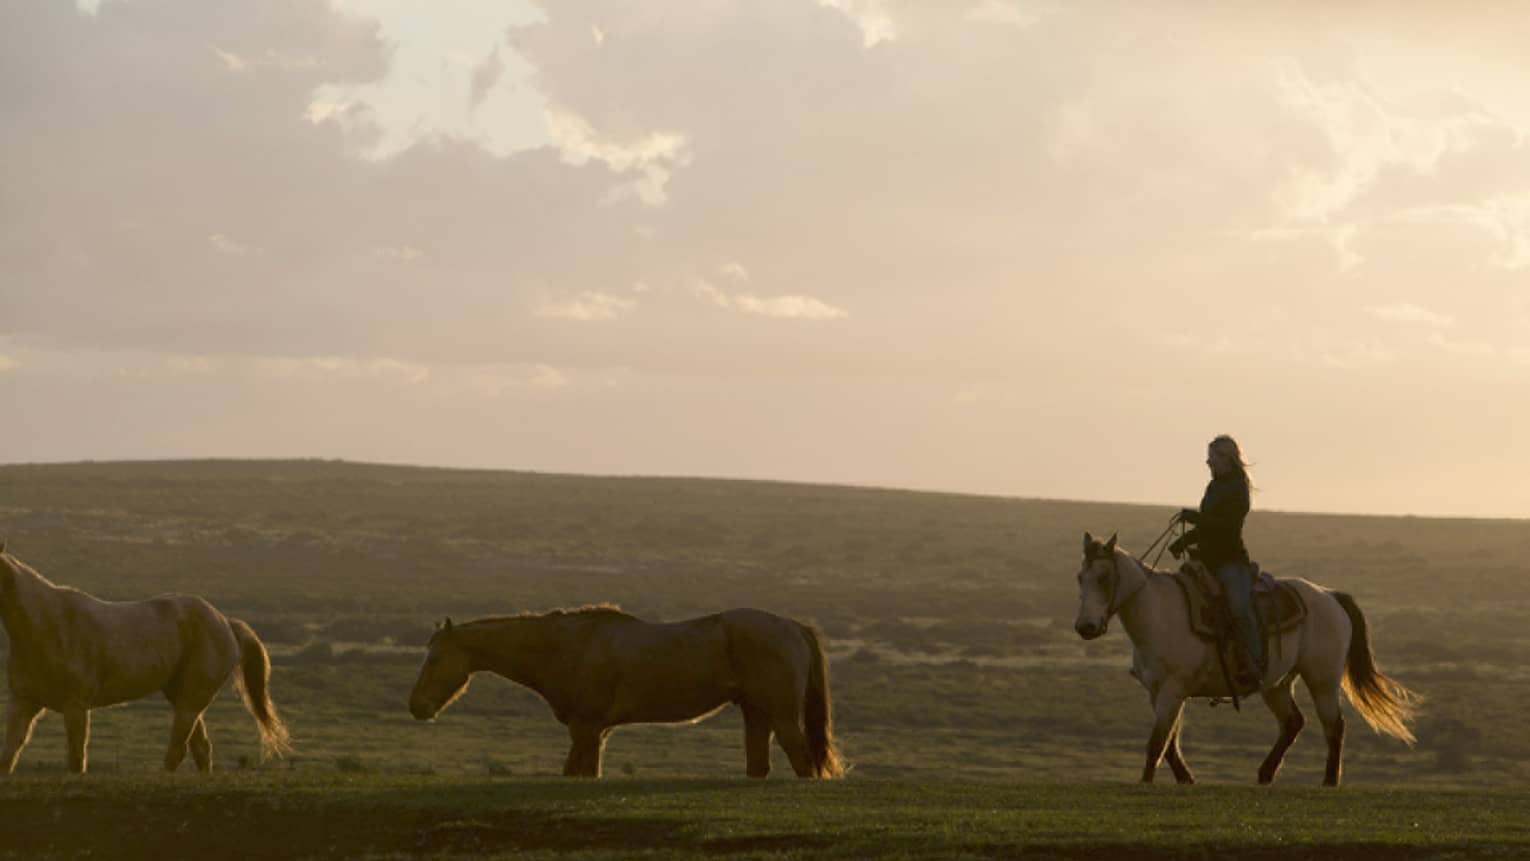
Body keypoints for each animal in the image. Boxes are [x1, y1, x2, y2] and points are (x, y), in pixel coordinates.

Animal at [0, 544, 289, 773]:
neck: (46, 625)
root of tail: (226, 623)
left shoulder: (76, 706)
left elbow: (76, 759)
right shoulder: (23, 702)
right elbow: (9, 753)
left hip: (191, 700)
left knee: (180, 749)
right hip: (182, 697)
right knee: (200, 749)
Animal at [406, 605, 844, 783]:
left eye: (435, 658)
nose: (417, 707)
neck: (564, 646)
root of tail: (793, 626)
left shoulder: (585, 728)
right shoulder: (594, 733)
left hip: (782, 715)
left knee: (802, 760)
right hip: (755, 713)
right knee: (760, 765)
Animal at [1071, 532, 1413, 789]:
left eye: (1104, 577)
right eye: (1080, 577)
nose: (1086, 627)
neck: (1158, 614)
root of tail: (1329, 595)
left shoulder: (1173, 688)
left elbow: (1158, 740)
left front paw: (1146, 782)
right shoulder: (1158, 691)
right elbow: (1170, 742)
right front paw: (1185, 779)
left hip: (1322, 679)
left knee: (1334, 724)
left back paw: (1329, 780)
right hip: (1276, 684)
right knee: (1293, 722)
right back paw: (1265, 774)